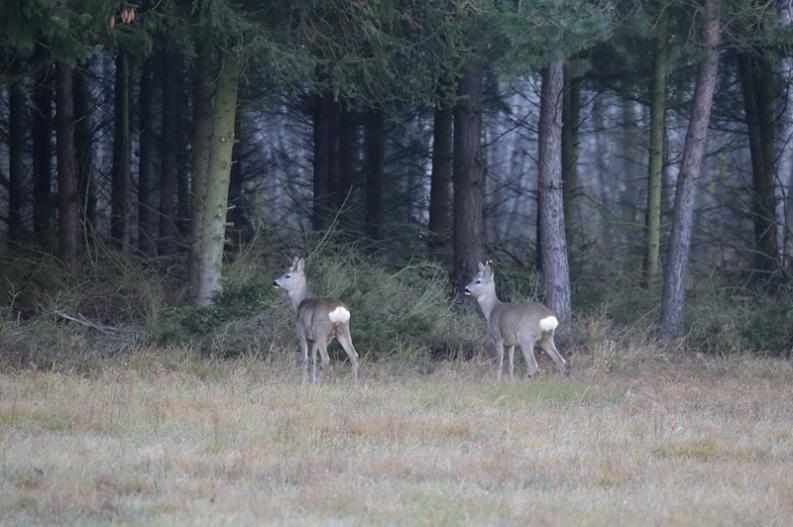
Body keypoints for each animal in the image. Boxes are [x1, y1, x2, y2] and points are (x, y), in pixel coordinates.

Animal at [272, 256, 358, 384]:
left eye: (287, 275)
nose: (275, 282)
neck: (300, 304)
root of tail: (339, 309)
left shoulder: (302, 334)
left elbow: (305, 359)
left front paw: (303, 383)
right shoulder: (314, 340)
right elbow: (313, 360)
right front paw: (311, 381)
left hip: (321, 330)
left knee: (326, 359)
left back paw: (318, 383)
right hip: (343, 330)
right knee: (353, 355)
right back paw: (355, 384)